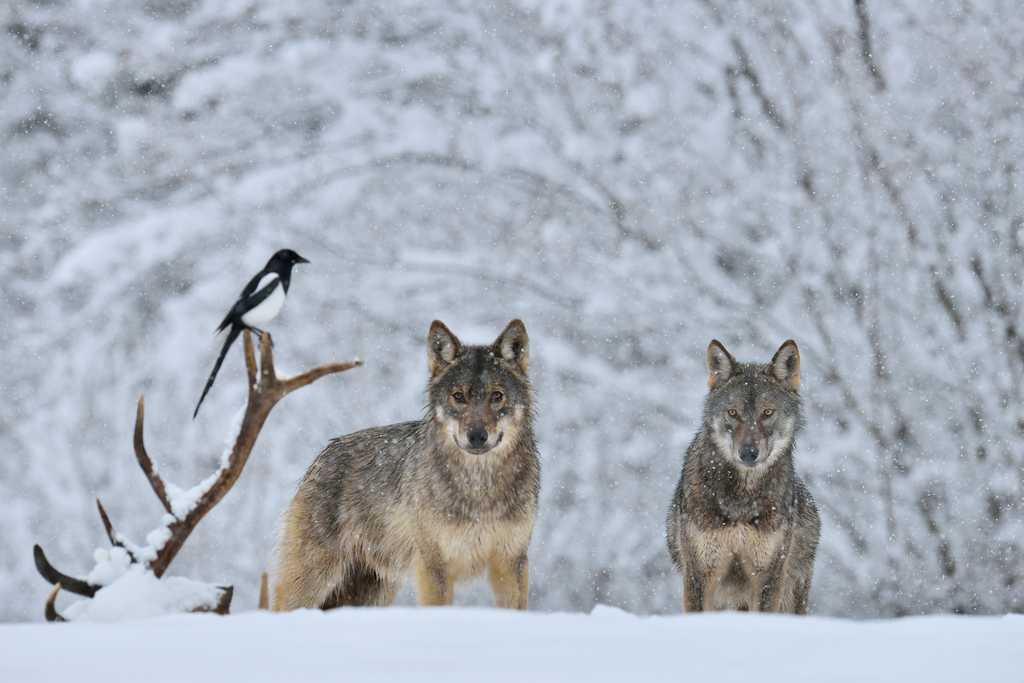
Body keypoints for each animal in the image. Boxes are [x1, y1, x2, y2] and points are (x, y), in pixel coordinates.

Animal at [276, 321, 540, 614]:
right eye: (458, 396)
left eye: (497, 396)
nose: (477, 436)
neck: (480, 487)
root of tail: (322, 455)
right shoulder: (433, 565)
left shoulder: (511, 562)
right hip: (314, 580)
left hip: (374, 590)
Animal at [663, 342, 823, 614]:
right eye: (733, 412)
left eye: (767, 412)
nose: (748, 453)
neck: (742, 499)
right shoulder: (699, 573)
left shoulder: (768, 576)